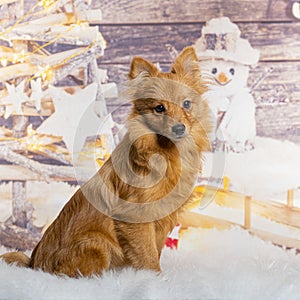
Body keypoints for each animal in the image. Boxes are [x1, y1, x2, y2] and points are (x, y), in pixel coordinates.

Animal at [1, 46, 210, 276]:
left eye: (187, 104)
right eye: (159, 108)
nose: (179, 128)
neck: (166, 152)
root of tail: (35, 264)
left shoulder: (163, 219)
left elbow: (156, 249)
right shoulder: (137, 216)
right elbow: (147, 254)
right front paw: (155, 277)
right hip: (98, 243)